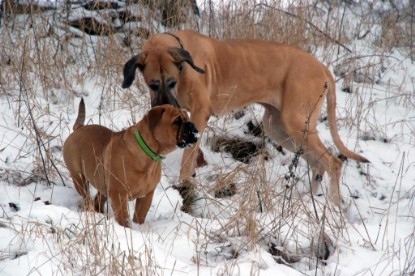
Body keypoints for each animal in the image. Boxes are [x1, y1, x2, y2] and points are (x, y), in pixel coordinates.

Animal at [63, 98, 200, 226]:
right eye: (177, 121)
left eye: (187, 118)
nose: (193, 126)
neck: (149, 154)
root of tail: (79, 128)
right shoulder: (119, 196)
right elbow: (124, 219)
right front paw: (126, 229)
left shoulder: (146, 196)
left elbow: (139, 217)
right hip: (79, 178)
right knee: (86, 197)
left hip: (103, 184)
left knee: (98, 200)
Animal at [121, 29, 370, 208]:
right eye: (152, 84)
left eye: (172, 81)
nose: (164, 106)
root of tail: (322, 67)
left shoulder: (200, 114)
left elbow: (187, 157)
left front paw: (183, 186)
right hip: (278, 127)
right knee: (318, 163)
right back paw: (307, 201)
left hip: (296, 124)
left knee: (333, 162)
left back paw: (334, 206)